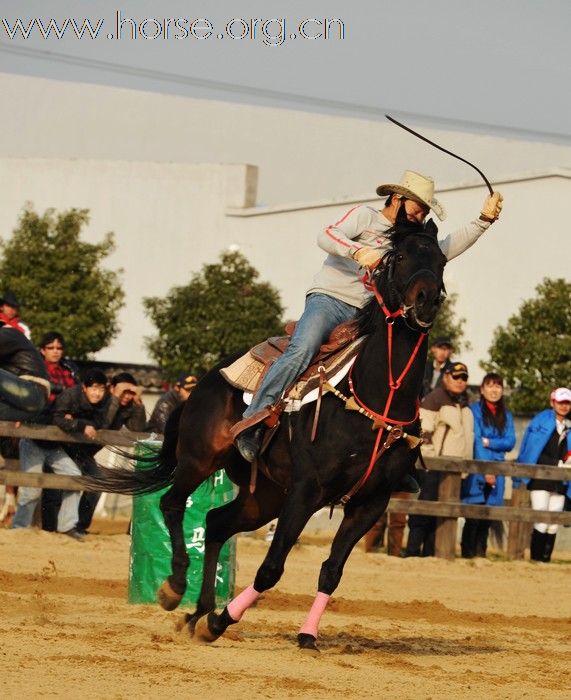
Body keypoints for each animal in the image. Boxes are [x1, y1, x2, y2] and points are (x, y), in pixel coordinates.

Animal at [84, 224, 446, 652]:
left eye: (441, 260)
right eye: (402, 256)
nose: (426, 300)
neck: (375, 394)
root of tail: (207, 379)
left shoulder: (370, 503)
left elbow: (331, 571)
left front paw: (305, 635)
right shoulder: (306, 491)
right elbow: (271, 568)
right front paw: (221, 621)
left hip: (265, 497)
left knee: (216, 523)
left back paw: (197, 613)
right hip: (201, 460)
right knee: (172, 504)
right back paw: (175, 588)